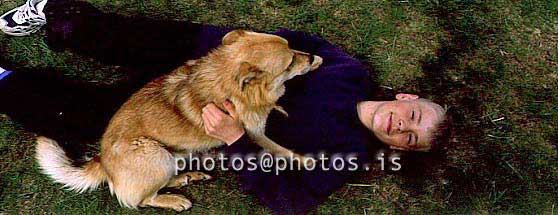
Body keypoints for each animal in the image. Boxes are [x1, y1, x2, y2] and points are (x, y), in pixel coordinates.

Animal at [35, 30, 324, 212]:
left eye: (292, 47)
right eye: (288, 63)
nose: (311, 56)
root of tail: (102, 161)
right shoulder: (255, 135)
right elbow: (282, 150)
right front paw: (308, 161)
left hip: (170, 156)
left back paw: (186, 177)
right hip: (154, 153)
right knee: (140, 199)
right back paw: (174, 200)